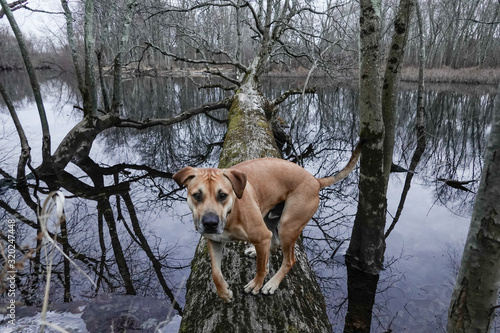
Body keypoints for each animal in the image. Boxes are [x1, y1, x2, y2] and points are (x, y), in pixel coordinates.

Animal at [174, 143, 362, 300]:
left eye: (223, 195)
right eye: (196, 195)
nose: (210, 223)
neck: (231, 213)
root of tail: (315, 180)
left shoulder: (261, 235)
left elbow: (261, 268)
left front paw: (256, 284)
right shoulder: (214, 241)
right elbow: (215, 273)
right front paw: (224, 292)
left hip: (288, 225)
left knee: (289, 259)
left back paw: (272, 283)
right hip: (269, 218)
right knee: (273, 240)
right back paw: (255, 251)